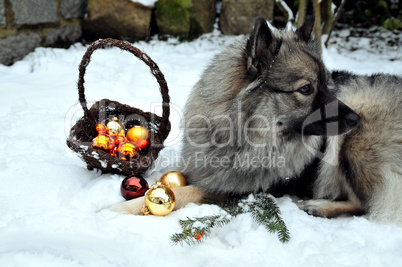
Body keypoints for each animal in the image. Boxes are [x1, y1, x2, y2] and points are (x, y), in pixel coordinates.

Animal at [107, 18, 402, 226]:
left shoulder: (236, 191)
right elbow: (169, 180)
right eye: (307, 89)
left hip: (354, 134)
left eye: (326, 85)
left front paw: (118, 209)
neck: (242, 136)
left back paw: (319, 206)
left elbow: (184, 193)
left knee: (365, 204)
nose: (355, 119)